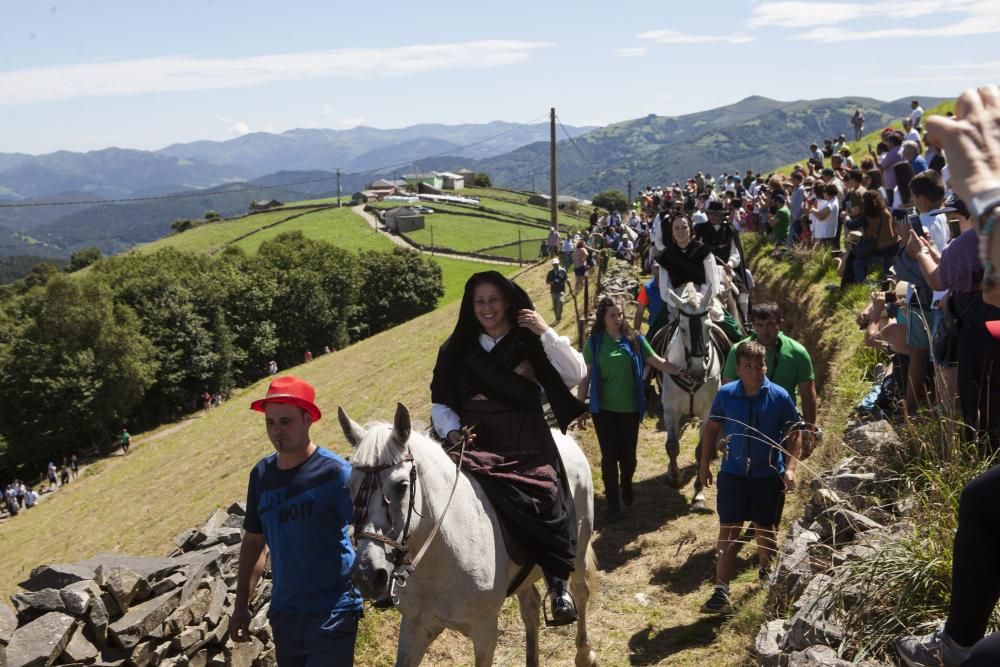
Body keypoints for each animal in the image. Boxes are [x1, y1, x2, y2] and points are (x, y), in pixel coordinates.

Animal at [340, 402, 596, 667]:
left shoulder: (484, 631)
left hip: (578, 547)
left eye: (402, 486)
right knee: (531, 609)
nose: (366, 577)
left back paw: (584, 654)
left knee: (580, 590)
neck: (440, 558)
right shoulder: (415, 628)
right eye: (349, 488)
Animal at [652, 282, 724, 512]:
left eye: (708, 327)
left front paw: (699, 494)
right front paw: (674, 477)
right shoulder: (670, 410)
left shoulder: (708, 411)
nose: (698, 372)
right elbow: (672, 445)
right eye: (682, 328)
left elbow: (702, 450)